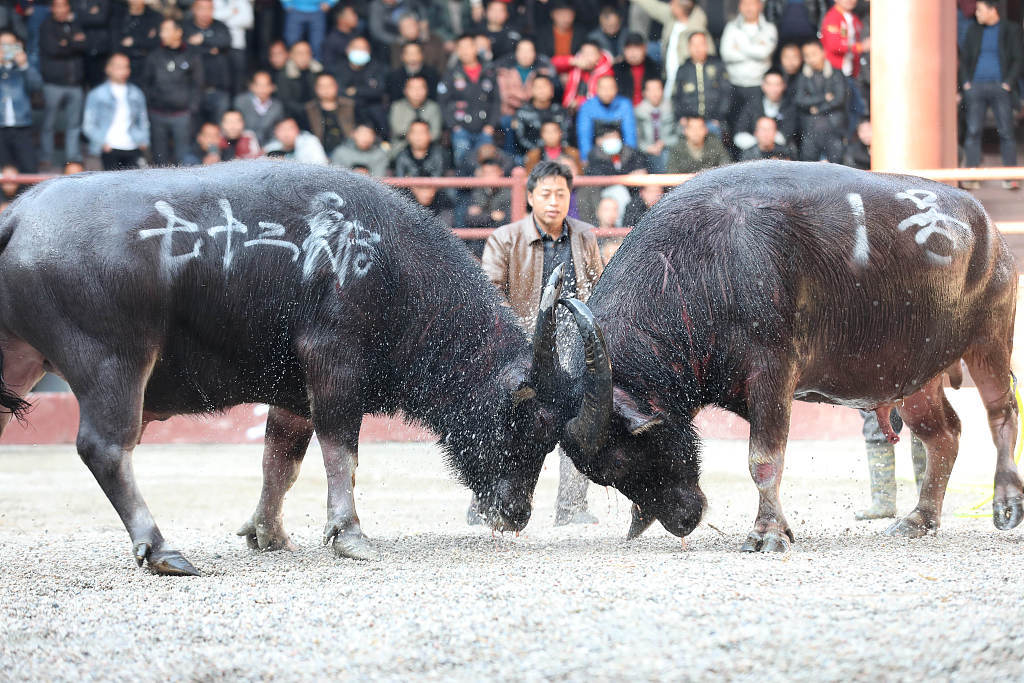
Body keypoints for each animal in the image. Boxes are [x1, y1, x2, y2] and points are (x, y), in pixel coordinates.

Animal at [0, 162, 606, 573]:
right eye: (531, 421)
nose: (516, 514)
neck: (384, 261)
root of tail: (20, 215)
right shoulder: (334, 364)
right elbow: (341, 449)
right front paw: (349, 533)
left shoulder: (292, 391)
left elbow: (281, 459)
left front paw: (268, 533)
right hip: (115, 364)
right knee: (105, 448)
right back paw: (163, 549)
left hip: (22, 362)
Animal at [561, 158, 1024, 548]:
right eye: (602, 475)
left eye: (620, 459)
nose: (681, 522)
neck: (698, 268)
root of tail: (988, 227)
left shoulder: (773, 371)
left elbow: (764, 459)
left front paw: (767, 532)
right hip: (915, 375)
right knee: (944, 435)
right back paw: (919, 519)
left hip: (991, 340)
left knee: (1001, 413)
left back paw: (1006, 503)